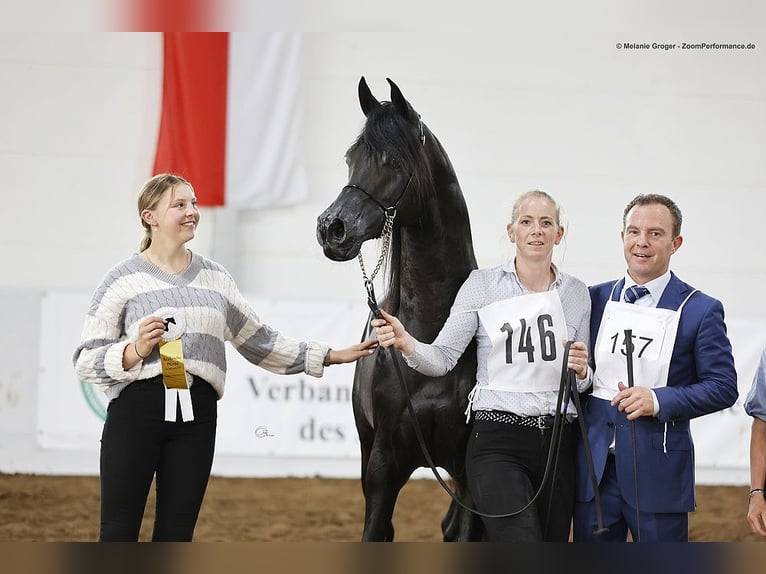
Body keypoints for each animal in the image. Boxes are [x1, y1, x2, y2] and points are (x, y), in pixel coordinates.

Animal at [316, 79, 484, 544]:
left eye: (392, 160)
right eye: (351, 159)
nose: (331, 228)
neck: (432, 341)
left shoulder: (470, 474)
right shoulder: (382, 468)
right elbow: (378, 529)